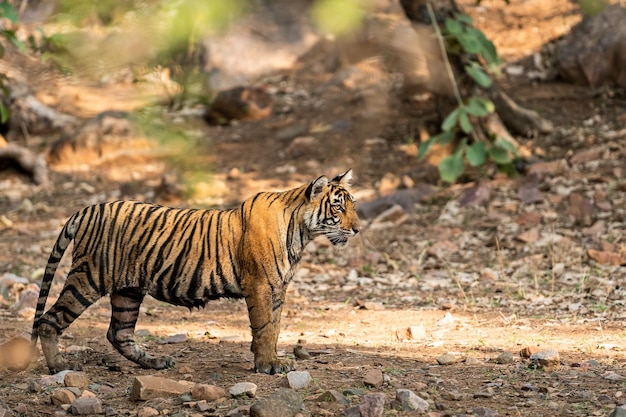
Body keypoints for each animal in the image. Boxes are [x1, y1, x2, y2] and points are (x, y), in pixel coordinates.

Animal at [30, 169, 360, 374]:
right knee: (49, 320)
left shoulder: (278, 288)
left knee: (118, 333)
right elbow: (265, 326)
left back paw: (156, 362)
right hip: (88, 277)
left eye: (352, 205)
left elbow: (275, 327)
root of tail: (88, 209)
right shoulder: (260, 286)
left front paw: (268, 358)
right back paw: (59, 366)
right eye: (338, 208)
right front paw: (268, 364)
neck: (301, 232)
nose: (358, 229)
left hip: (128, 290)